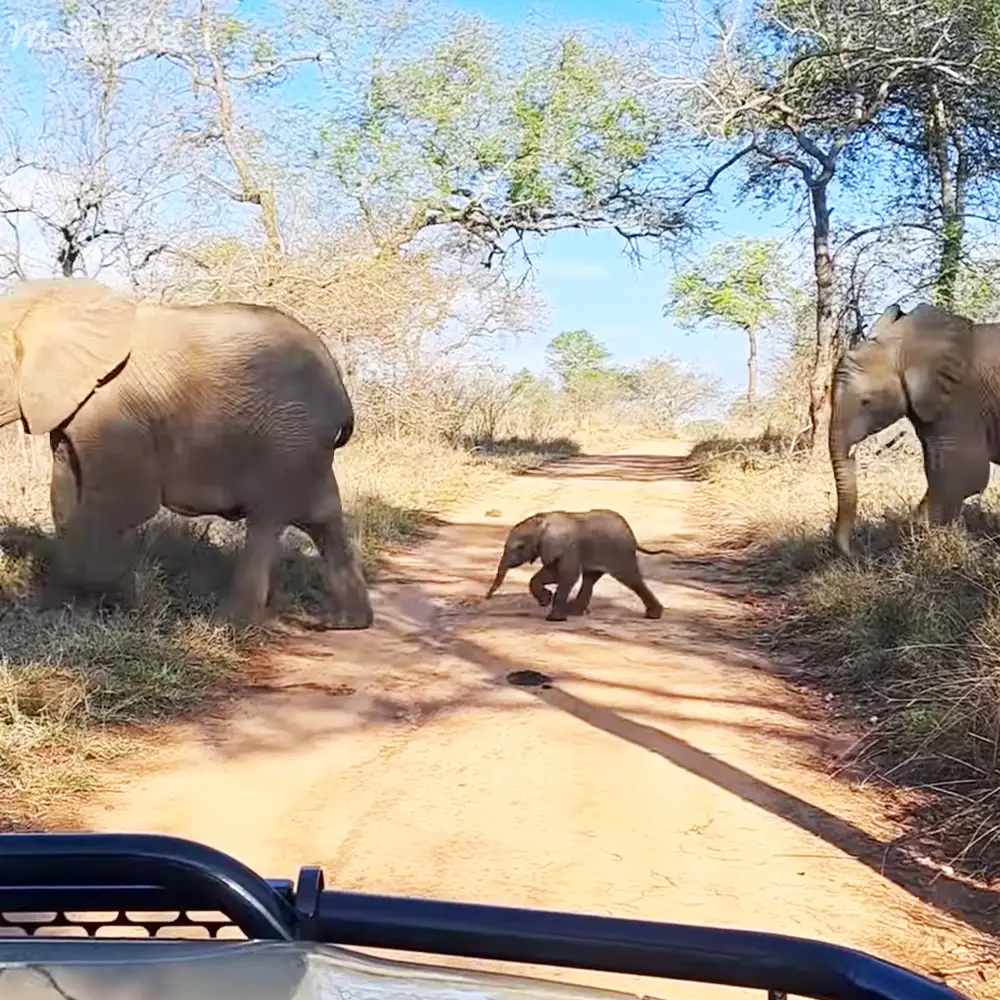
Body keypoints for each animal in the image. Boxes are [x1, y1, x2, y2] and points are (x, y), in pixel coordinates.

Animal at [0, 277, 373, 629]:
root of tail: (343, 397)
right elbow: (65, 496)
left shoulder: (116, 412)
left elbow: (124, 503)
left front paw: (81, 605)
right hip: (304, 446)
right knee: (324, 518)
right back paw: (345, 622)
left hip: (288, 438)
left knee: (267, 520)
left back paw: (229, 624)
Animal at [484, 508, 666, 622]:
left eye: (520, 547)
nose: (486, 598)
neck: (544, 521)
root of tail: (632, 534)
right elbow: (550, 574)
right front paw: (546, 600)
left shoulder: (568, 548)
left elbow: (566, 575)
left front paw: (554, 618)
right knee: (590, 579)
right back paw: (575, 612)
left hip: (619, 552)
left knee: (630, 578)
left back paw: (653, 615)